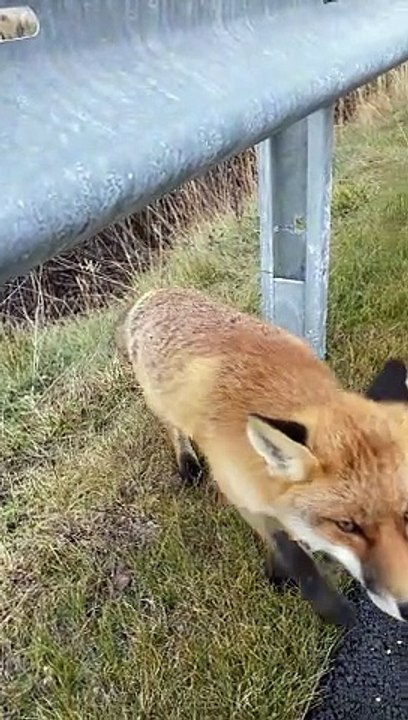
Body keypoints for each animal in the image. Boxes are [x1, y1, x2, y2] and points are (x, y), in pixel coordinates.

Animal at [117, 286, 408, 623]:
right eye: (346, 526)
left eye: (406, 513)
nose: (407, 606)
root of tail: (155, 292)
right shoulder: (243, 496)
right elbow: (293, 555)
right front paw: (327, 606)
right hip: (160, 404)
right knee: (173, 428)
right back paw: (187, 462)